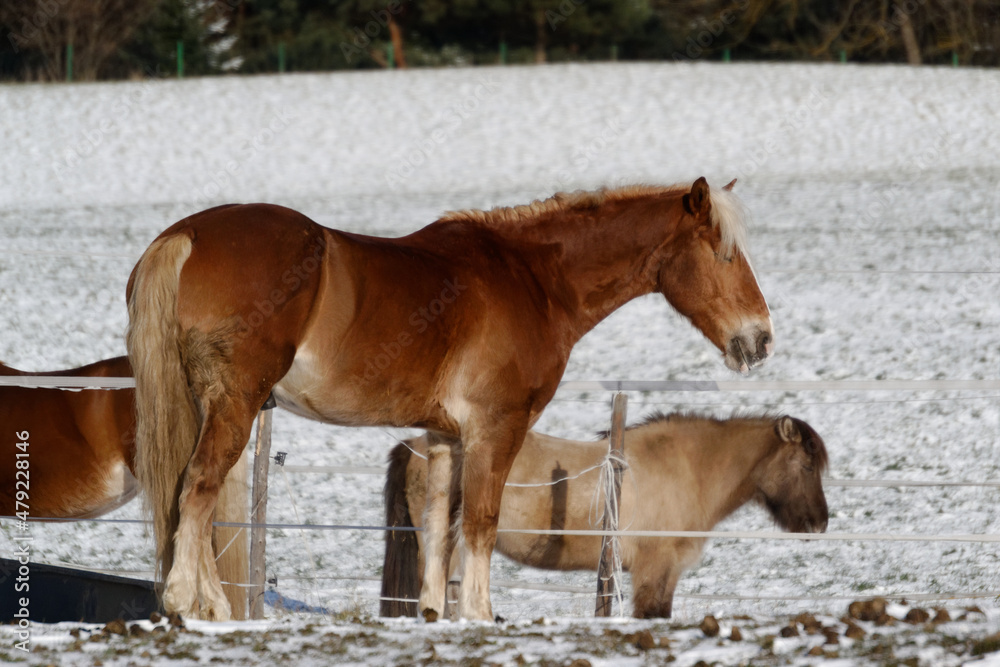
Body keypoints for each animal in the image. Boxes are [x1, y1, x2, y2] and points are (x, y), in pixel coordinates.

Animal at [127, 176, 772, 620]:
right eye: (725, 254)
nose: (760, 338)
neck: (532, 280)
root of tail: (186, 235)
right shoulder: (496, 428)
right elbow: (481, 523)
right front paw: (480, 615)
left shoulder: (444, 439)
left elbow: (440, 527)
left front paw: (438, 613)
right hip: (234, 405)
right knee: (199, 487)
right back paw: (194, 603)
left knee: (190, 494)